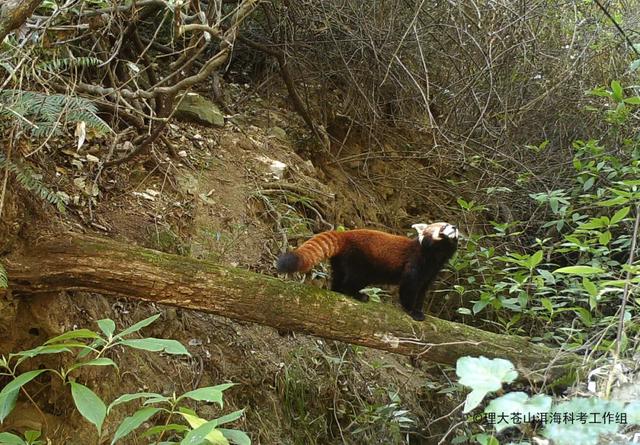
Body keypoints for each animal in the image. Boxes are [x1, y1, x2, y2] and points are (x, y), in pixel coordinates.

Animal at [278, 222, 458, 320]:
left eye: (450, 225)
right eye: (444, 226)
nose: (455, 226)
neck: (434, 256)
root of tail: (345, 235)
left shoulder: (430, 273)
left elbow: (422, 291)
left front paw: (419, 309)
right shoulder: (414, 263)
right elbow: (408, 288)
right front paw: (411, 310)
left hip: (342, 261)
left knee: (339, 276)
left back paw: (338, 290)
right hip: (360, 260)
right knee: (352, 280)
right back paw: (357, 294)